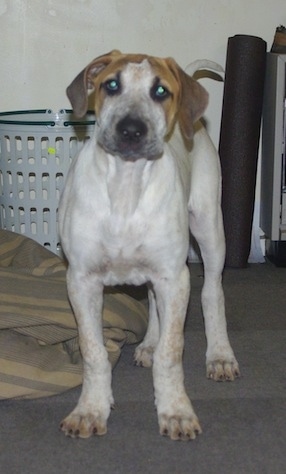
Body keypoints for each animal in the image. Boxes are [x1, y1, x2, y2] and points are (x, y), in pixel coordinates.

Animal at [59, 51, 240, 440]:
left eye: (160, 91)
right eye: (111, 85)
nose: (131, 130)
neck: (125, 188)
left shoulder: (175, 276)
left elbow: (172, 353)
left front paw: (176, 411)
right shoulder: (81, 280)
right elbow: (93, 350)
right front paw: (90, 409)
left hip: (209, 227)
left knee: (212, 292)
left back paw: (220, 355)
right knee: (156, 303)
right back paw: (148, 343)